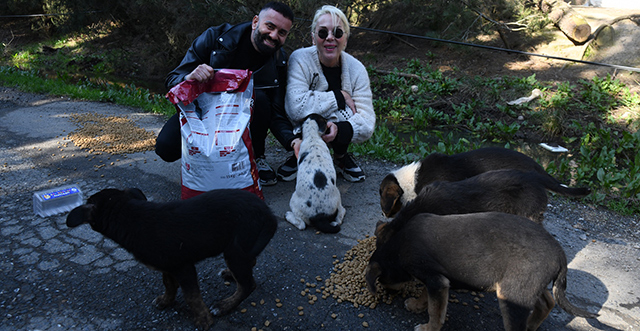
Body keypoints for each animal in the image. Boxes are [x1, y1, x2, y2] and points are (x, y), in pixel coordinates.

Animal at [66, 188, 278, 330]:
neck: (131, 216)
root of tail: (269, 214)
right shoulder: (168, 265)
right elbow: (168, 283)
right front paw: (165, 301)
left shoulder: (184, 267)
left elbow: (192, 296)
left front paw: (204, 320)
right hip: (240, 248)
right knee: (250, 264)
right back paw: (228, 274)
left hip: (235, 249)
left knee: (248, 284)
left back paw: (224, 305)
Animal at [364, 213, 600, 331]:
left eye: (382, 281)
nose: (388, 293)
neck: (397, 247)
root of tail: (560, 255)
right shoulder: (437, 280)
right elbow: (427, 297)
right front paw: (416, 305)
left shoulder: (435, 280)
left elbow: (435, 311)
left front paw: (428, 327)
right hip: (526, 284)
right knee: (547, 302)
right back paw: (532, 325)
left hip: (512, 294)